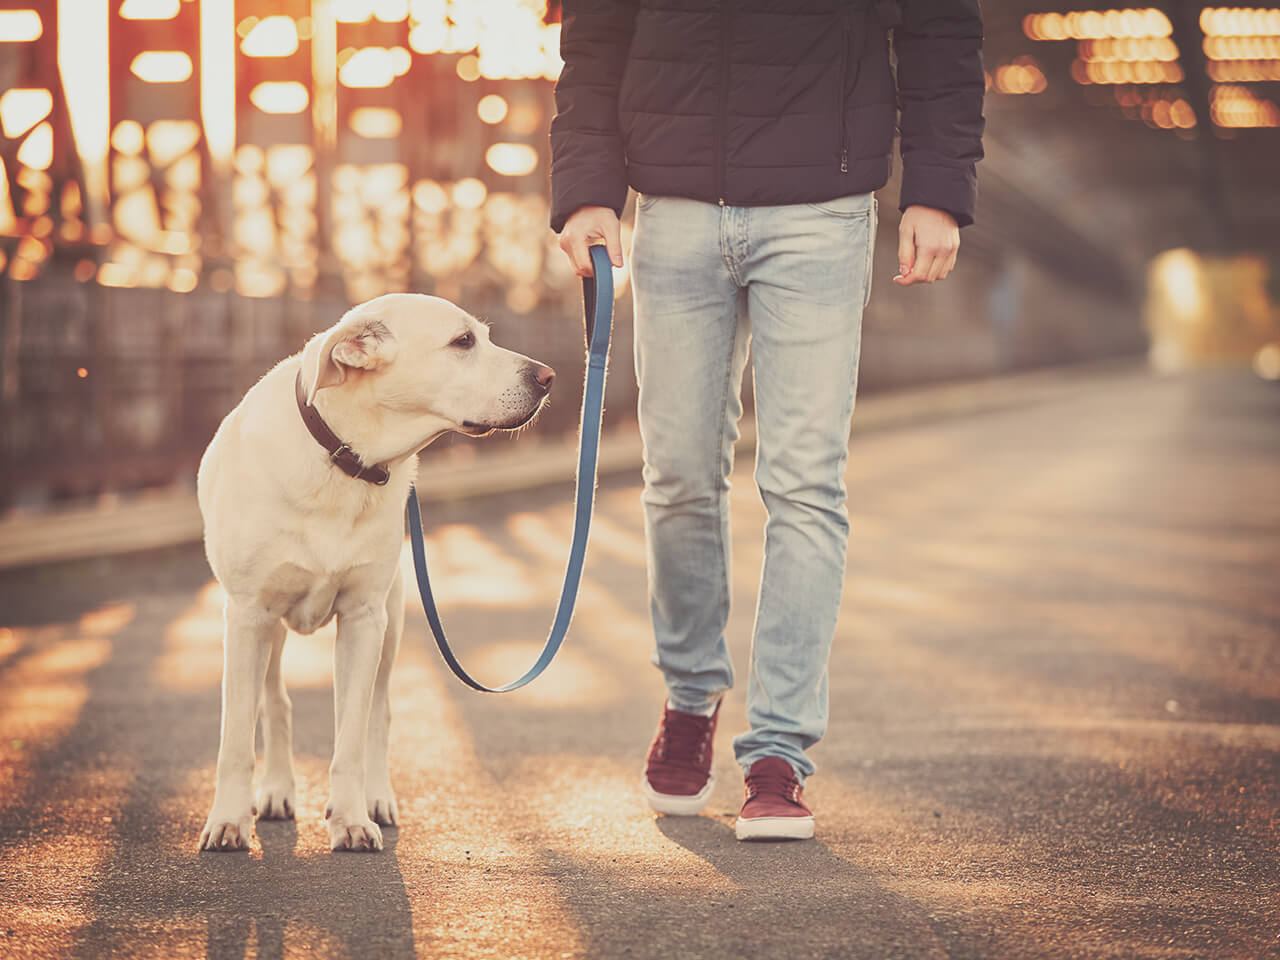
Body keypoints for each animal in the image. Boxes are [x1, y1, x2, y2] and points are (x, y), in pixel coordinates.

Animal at [195, 296, 550, 855]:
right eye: (463, 342)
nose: (548, 377)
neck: (344, 461)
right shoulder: (248, 616)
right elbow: (235, 738)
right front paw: (228, 820)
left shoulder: (364, 619)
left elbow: (352, 739)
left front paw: (350, 819)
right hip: (268, 629)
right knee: (275, 704)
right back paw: (276, 790)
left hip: (391, 623)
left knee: (378, 715)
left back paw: (377, 798)